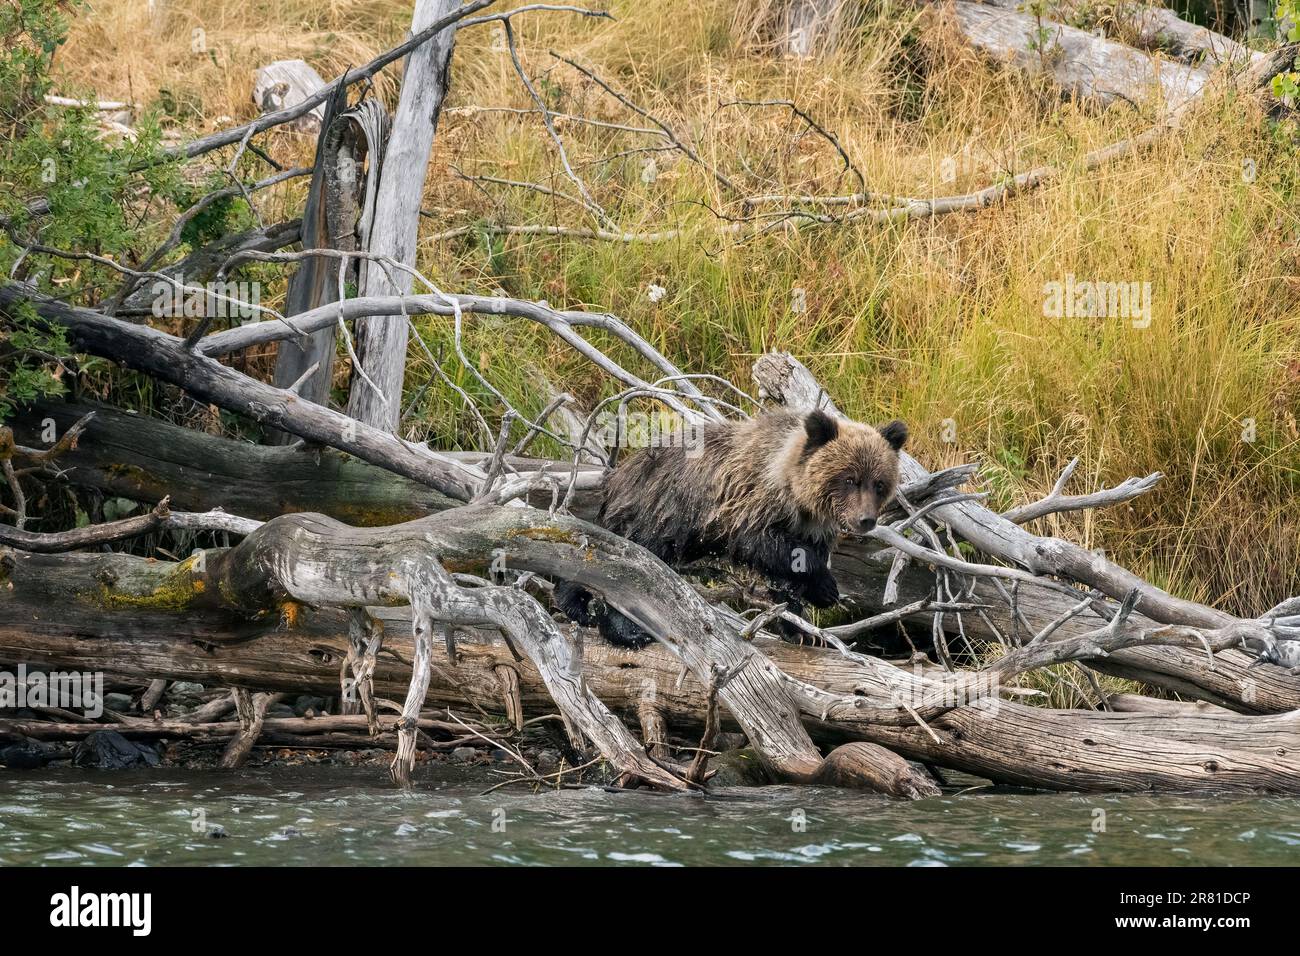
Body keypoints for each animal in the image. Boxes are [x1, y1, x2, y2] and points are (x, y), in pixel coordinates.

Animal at [555, 407, 908, 648]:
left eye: (879, 482)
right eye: (849, 479)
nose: (865, 520)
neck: (798, 498)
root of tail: (618, 474)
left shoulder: (810, 527)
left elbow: (787, 577)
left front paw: (800, 627)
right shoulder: (747, 507)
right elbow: (765, 546)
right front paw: (825, 587)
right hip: (655, 515)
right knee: (632, 573)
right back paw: (628, 631)